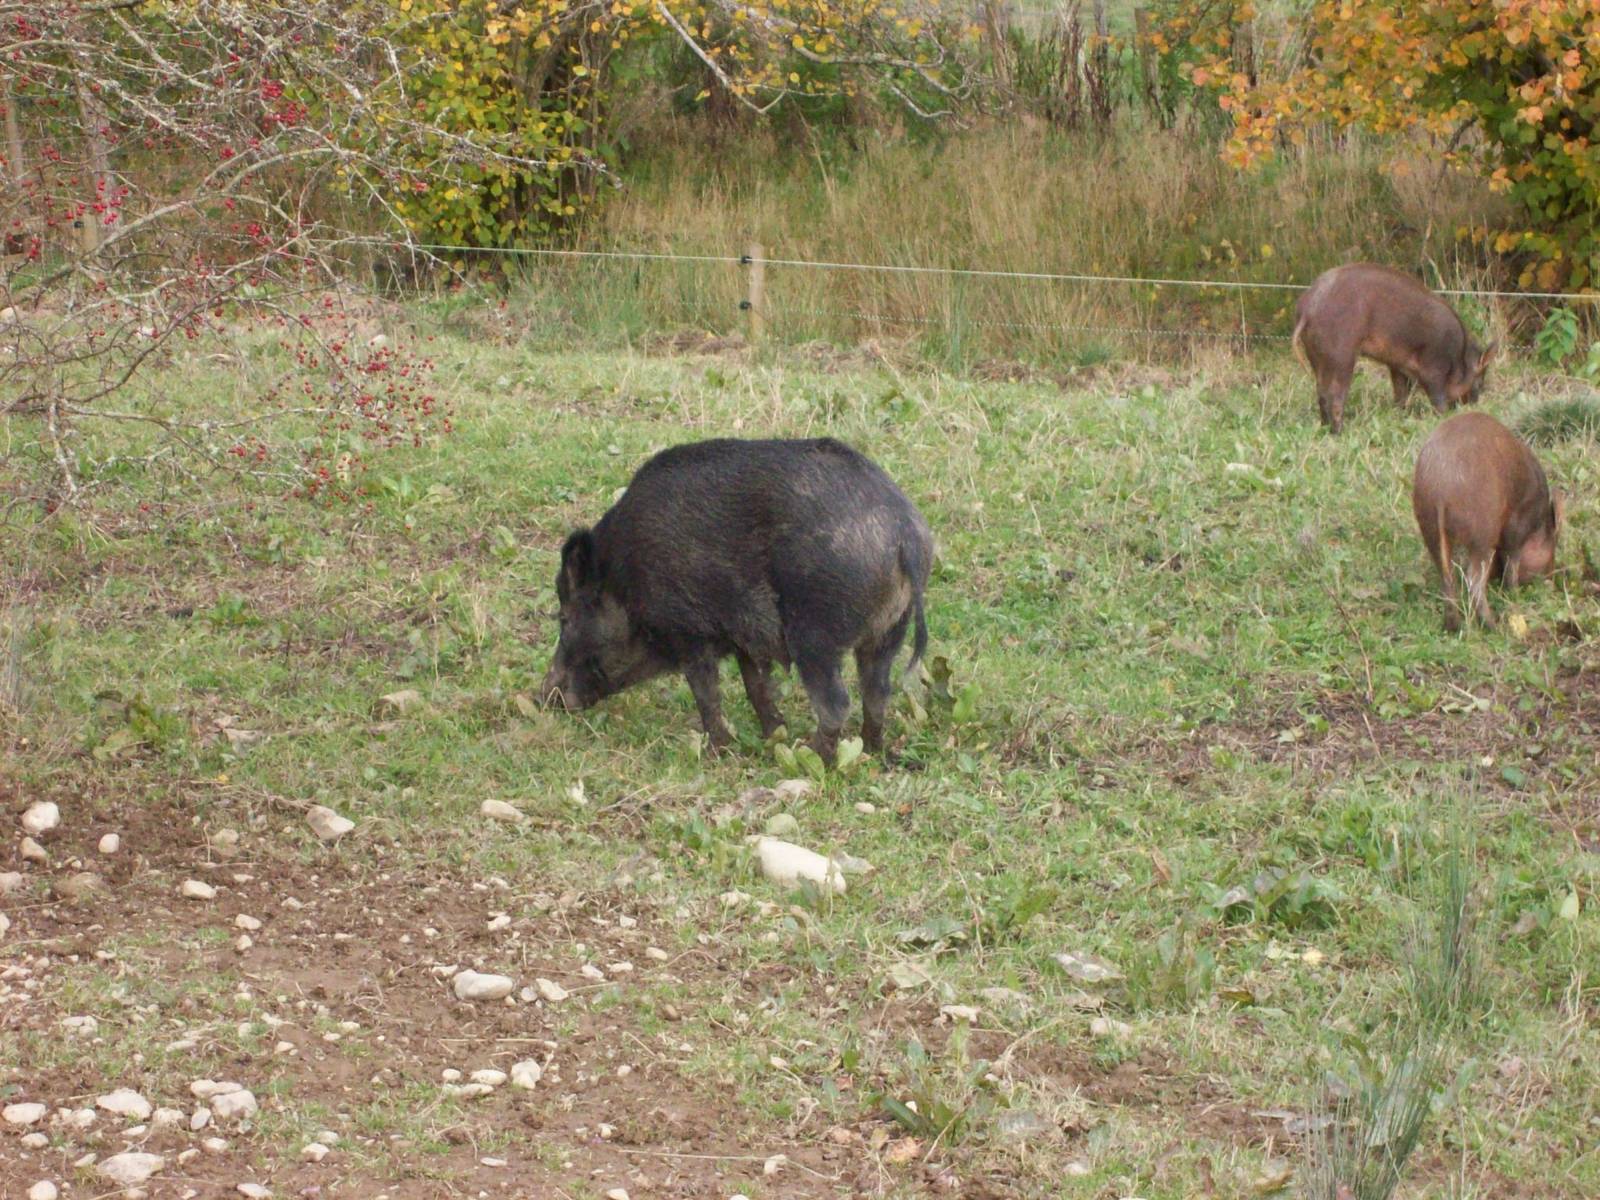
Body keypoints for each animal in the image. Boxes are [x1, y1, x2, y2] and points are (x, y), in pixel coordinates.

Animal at [540, 437, 932, 763]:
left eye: (564, 618)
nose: (544, 696)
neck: (624, 579)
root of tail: (904, 533)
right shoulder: (745, 639)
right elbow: (755, 687)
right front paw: (773, 735)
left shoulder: (689, 631)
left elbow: (706, 693)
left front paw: (720, 751)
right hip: (889, 629)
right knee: (877, 692)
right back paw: (870, 752)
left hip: (816, 632)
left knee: (836, 703)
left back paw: (808, 757)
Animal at [1293, 263, 1497, 434]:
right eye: (1480, 381)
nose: (1474, 404)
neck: (1458, 358)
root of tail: (1308, 309)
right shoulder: (1433, 367)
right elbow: (1437, 397)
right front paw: (1443, 417)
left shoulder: (1398, 366)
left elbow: (1401, 394)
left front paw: (1400, 416)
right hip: (1341, 353)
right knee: (1334, 394)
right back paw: (1339, 432)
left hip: (1316, 355)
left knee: (1321, 392)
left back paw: (1325, 428)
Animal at [1412, 412, 1563, 631]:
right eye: (1553, 548)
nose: (1551, 583)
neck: (1538, 525)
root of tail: (1440, 488)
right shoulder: (1516, 526)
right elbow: (1512, 564)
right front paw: (1513, 596)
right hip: (1482, 530)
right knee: (1473, 578)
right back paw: (1493, 626)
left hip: (1429, 527)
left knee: (1447, 578)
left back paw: (1453, 627)